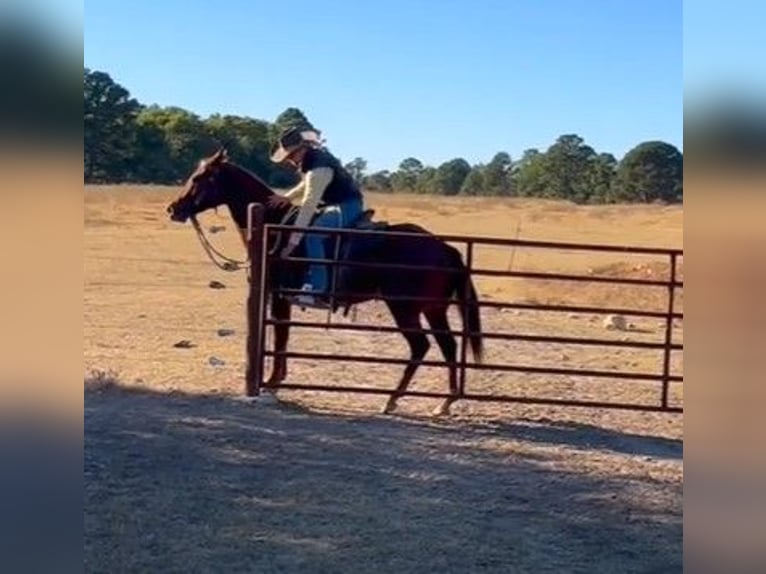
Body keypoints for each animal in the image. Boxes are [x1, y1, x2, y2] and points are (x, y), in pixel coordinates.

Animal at [166, 148, 486, 416]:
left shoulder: (279, 295)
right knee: (448, 346)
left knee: (421, 347)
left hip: (405, 308)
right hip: (433, 310)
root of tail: (446, 249)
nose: (173, 209)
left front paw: (273, 381)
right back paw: (443, 402)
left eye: (199, 178)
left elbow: (280, 336)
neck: (273, 226)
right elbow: (282, 335)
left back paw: (393, 400)